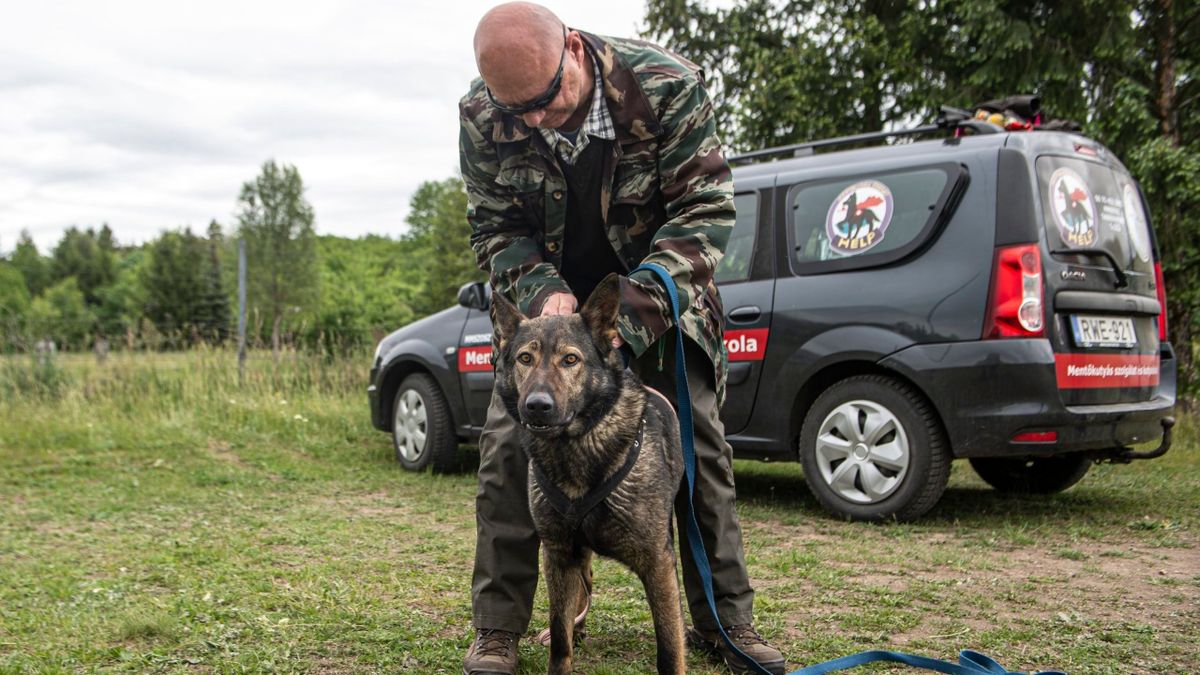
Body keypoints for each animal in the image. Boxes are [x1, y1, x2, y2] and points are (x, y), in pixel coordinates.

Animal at [489, 270, 686, 667]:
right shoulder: (559, 555)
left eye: (570, 359)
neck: (576, 448)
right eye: (525, 358)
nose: (537, 406)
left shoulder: (659, 564)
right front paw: (565, 641)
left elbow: (670, 648)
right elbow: (560, 640)